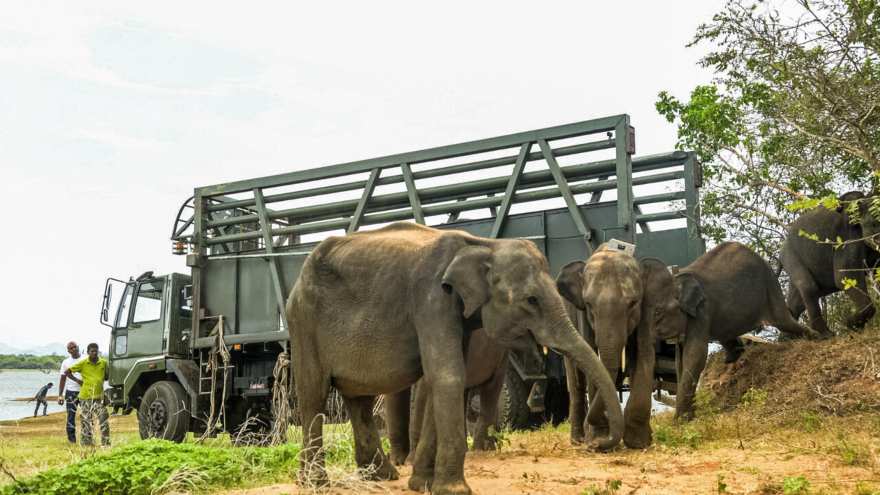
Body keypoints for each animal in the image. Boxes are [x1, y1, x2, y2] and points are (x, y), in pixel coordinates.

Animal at [286, 222, 623, 495]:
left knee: (359, 400)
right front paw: (453, 490)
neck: (483, 245)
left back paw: (380, 477)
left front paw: (422, 485)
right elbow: (448, 376)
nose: (598, 444)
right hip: (303, 322)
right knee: (314, 395)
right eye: (531, 300)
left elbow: (446, 377)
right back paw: (317, 483)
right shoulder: (432, 300)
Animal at [556, 245, 679, 449]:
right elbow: (591, 358)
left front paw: (638, 442)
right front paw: (597, 437)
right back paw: (578, 439)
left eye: (633, 303)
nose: (596, 445)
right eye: (588, 304)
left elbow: (644, 353)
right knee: (576, 380)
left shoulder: (647, 309)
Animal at [669, 242, 821, 419]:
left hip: (769, 285)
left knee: (783, 321)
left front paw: (680, 421)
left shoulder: (701, 310)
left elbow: (695, 354)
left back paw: (820, 337)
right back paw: (733, 357)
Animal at [781, 190, 880, 337]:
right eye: (874, 224)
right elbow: (844, 275)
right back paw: (825, 335)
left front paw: (853, 326)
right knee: (808, 287)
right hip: (790, 255)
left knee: (797, 302)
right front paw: (850, 325)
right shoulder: (848, 236)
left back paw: (789, 338)